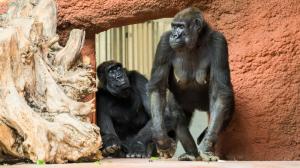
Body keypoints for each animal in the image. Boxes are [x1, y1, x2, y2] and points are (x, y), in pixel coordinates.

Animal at [149, 7, 236, 161]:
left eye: (181, 27)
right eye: (173, 27)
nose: (174, 35)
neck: (196, 42)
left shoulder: (218, 42)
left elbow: (220, 91)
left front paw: (206, 146)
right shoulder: (164, 43)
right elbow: (158, 88)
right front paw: (162, 140)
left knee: (224, 108)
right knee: (177, 115)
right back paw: (192, 153)